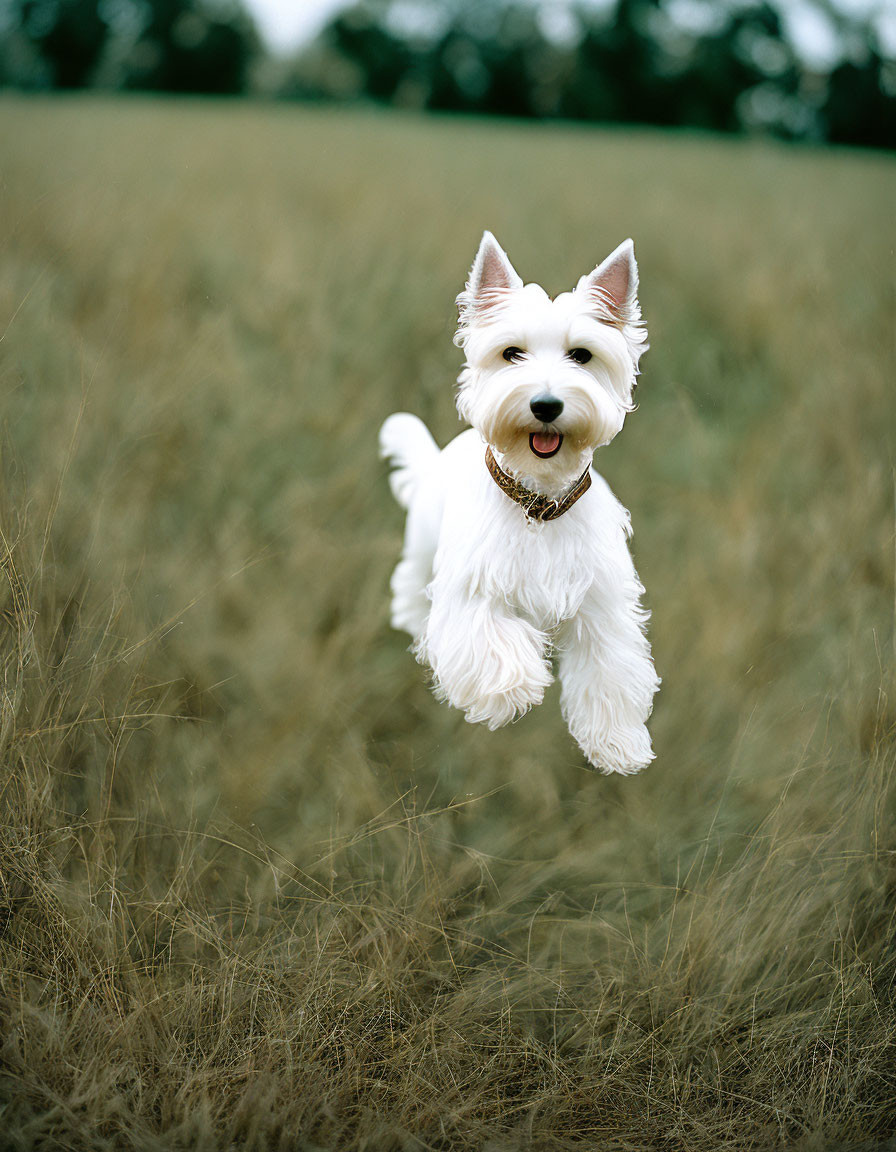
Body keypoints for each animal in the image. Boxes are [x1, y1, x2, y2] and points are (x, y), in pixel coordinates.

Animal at [377, 231, 654, 774]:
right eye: (512, 353)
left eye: (581, 355)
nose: (545, 405)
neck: (538, 505)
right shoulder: (474, 587)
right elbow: (491, 645)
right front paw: (513, 690)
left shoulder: (602, 603)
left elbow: (610, 673)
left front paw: (618, 744)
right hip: (422, 548)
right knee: (409, 588)